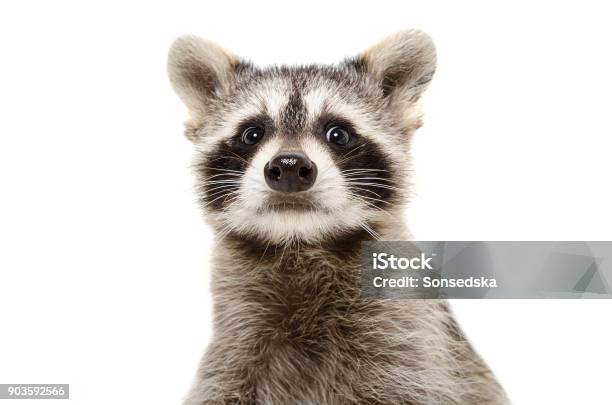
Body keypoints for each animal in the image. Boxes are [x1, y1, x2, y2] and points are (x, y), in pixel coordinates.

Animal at [170, 29, 510, 404]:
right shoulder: (235, 349)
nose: (290, 167)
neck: (300, 245)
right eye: (252, 133)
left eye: (338, 134)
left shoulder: (409, 343)